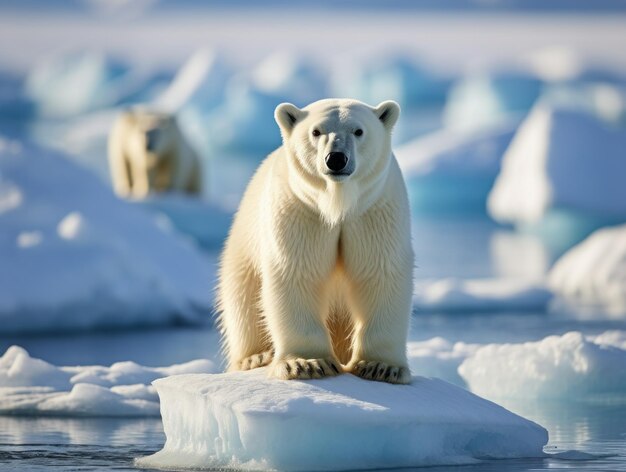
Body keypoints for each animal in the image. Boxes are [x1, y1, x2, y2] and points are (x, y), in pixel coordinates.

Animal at [217, 98, 412, 384]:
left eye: (358, 131)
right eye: (316, 131)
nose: (336, 158)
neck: (337, 203)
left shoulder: (374, 211)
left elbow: (380, 272)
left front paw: (382, 367)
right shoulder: (301, 210)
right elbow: (297, 271)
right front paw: (306, 363)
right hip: (242, 248)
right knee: (243, 299)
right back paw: (256, 356)